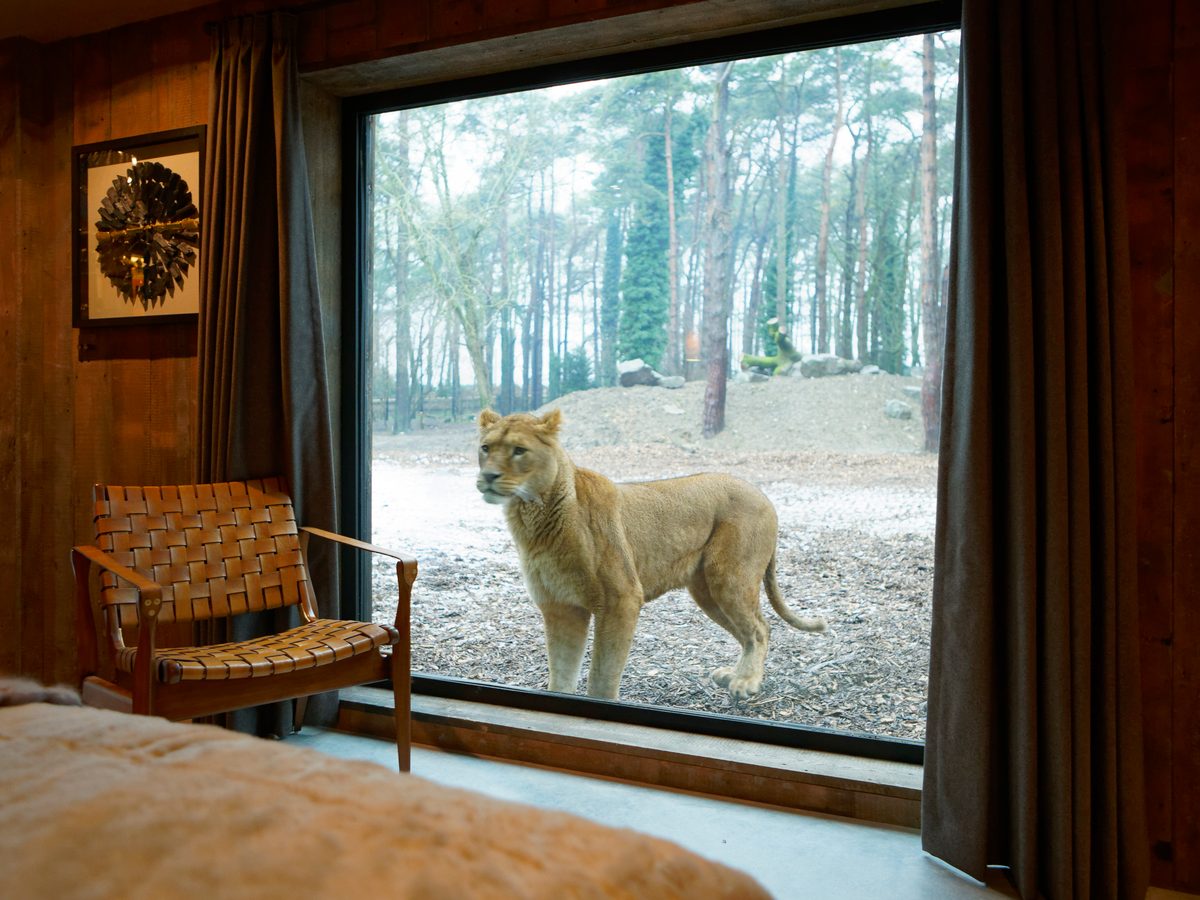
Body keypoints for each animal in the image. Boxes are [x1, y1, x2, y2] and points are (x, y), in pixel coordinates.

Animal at [475, 407, 826, 701]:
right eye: (486, 448)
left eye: (519, 450)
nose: (488, 476)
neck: (532, 517)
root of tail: (762, 493)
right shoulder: (560, 606)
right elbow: (561, 674)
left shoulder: (621, 600)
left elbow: (602, 675)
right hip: (706, 591)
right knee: (747, 631)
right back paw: (734, 675)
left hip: (730, 578)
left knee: (760, 628)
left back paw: (746, 683)